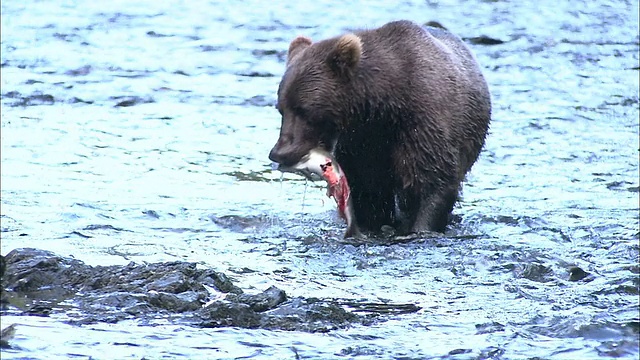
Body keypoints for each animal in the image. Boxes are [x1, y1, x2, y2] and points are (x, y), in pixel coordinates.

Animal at [268, 20, 492, 236]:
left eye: (303, 110)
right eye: (281, 108)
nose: (279, 152)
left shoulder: (422, 124)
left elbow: (432, 180)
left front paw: (420, 227)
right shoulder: (361, 142)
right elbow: (368, 190)